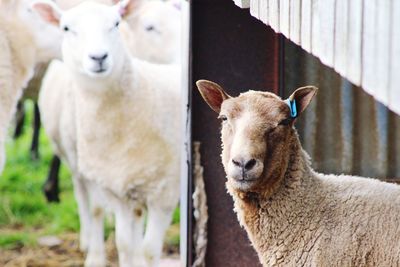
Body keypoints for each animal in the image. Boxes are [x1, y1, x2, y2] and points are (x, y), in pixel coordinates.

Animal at [34, 1, 181, 266]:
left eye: (116, 23)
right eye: (66, 28)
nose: (99, 57)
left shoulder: (165, 192)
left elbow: (148, 250)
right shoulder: (114, 188)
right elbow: (123, 242)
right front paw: (99, 256)